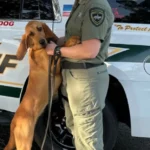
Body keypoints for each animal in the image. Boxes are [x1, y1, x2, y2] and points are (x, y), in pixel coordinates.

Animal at [3, 20, 79, 150]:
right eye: (31, 34)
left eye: (39, 28)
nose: (42, 41)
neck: (38, 49)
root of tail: (13, 122)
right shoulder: (55, 67)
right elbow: (60, 49)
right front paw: (72, 40)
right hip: (25, 142)